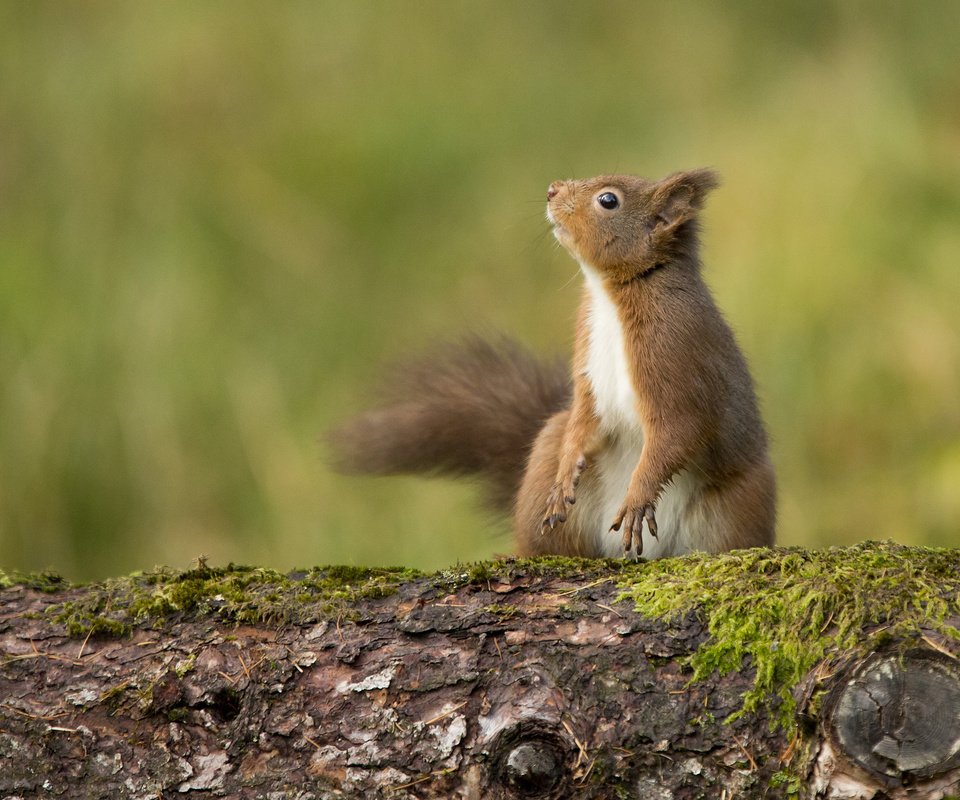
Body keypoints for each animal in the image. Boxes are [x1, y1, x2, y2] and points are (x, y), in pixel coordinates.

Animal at [334, 169, 776, 556]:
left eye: (608, 200)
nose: (551, 190)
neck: (612, 293)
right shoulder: (588, 363)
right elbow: (583, 415)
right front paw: (567, 474)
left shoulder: (678, 355)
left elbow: (678, 430)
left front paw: (637, 498)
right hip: (546, 456)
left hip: (738, 506)